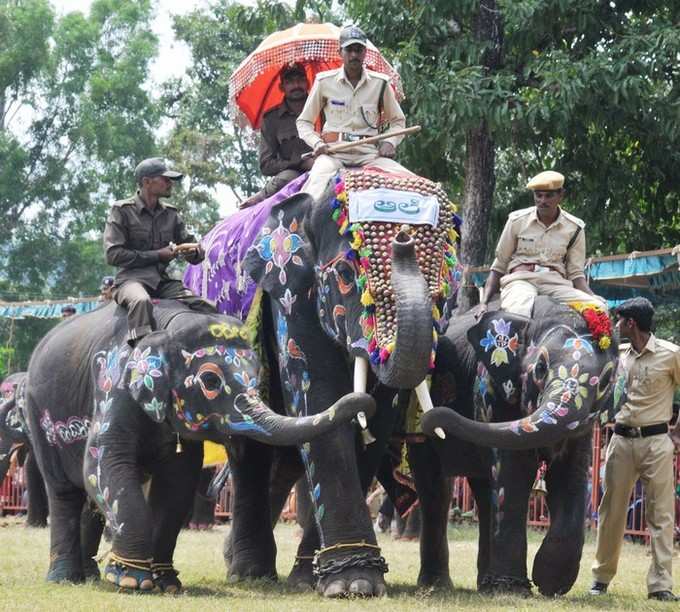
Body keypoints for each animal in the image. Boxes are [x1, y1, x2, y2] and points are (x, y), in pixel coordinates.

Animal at [22, 300, 372, 592]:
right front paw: (133, 581)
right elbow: (104, 464)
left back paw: (90, 577)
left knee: (88, 500)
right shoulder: (114, 387)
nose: (366, 402)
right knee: (64, 492)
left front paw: (165, 584)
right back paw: (65, 579)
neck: (166, 328)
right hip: (38, 414)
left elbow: (177, 482)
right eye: (210, 381)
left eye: (258, 373)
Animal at [186, 169, 462, 596]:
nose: (401, 240)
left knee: (282, 457)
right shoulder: (289, 290)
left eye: (443, 287)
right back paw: (248, 572)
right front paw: (353, 584)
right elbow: (317, 396)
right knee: (249, 449)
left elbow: (375, 421)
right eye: (346, 275)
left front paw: (325, 578)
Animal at [414, 298, 620, 596]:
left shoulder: (584, 426)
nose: (433, 418)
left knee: (484, 490)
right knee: (436, 487)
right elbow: (514, 471)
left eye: (605, 381)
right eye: (541, 368)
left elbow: (569, 475)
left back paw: (485, 586)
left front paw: (550, 582)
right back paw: (440, 586)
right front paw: (515, 590)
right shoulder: (490, 387)